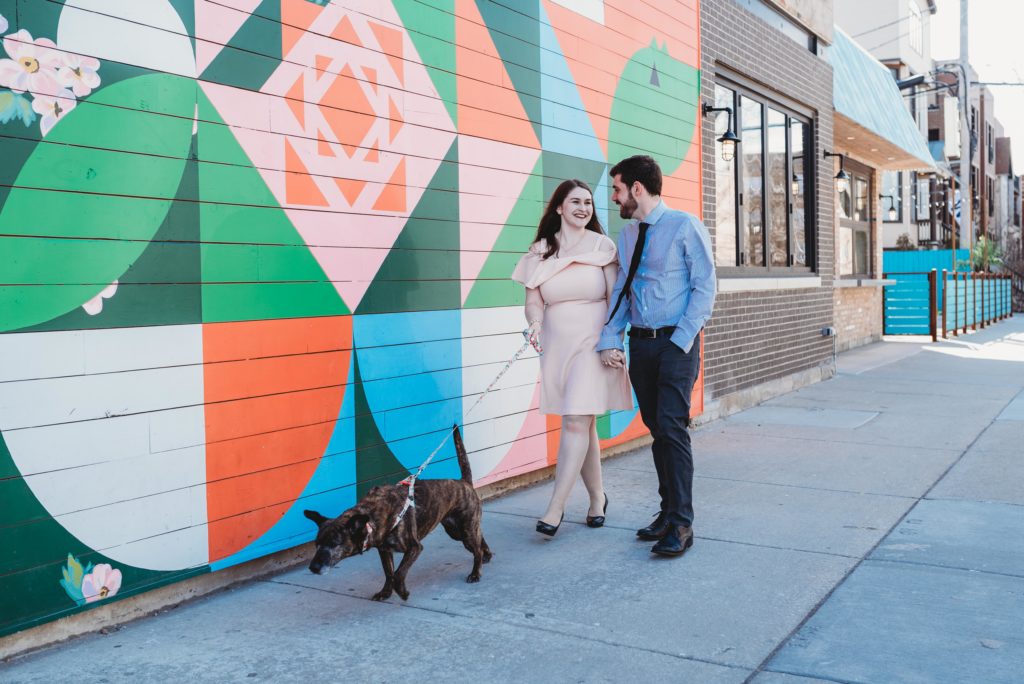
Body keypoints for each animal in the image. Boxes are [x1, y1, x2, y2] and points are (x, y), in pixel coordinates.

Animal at [303, 423, 491, 602]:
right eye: (317, 544)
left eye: (335, 544)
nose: (313, 567)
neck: (373, 514)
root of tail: (464, 482)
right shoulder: (384, 550)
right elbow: (389, 573)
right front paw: (385, 592)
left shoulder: (414, 548)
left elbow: (399, 573)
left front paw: (401, 591)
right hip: (456, 531)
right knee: (479, 538)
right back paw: (487, 554)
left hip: (464, 529)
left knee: (476, 548)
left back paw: (476, 572)